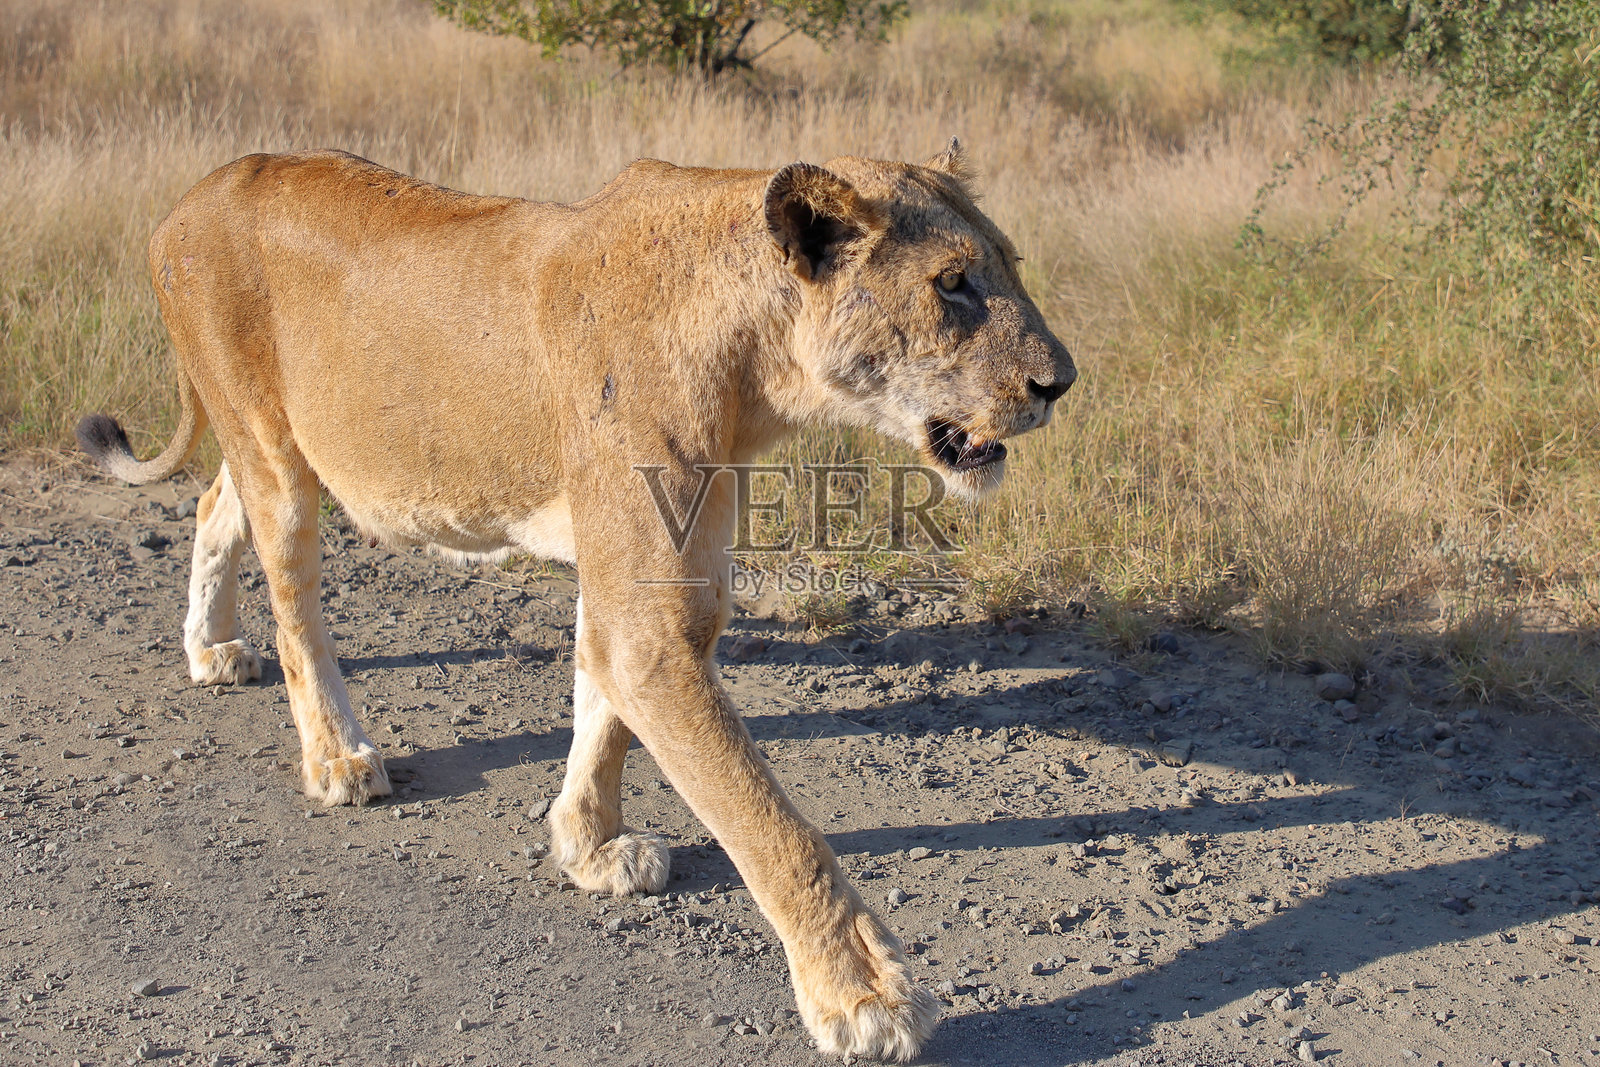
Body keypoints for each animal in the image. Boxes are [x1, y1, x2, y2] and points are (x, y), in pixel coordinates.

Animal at [76, 143, 1075, 1061]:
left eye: (1012, 265)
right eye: (952, 284)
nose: (1060, 384)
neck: (755, 372)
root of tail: (200, 188)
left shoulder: (662, 589)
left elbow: (605, 713)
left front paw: (589, 846)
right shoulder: (651, 623)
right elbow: (769, 821)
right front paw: (864, 993)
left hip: (272, 446)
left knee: (213, 505)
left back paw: (210, 649)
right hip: (275, 452)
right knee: (294, 605)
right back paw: (338, 757)